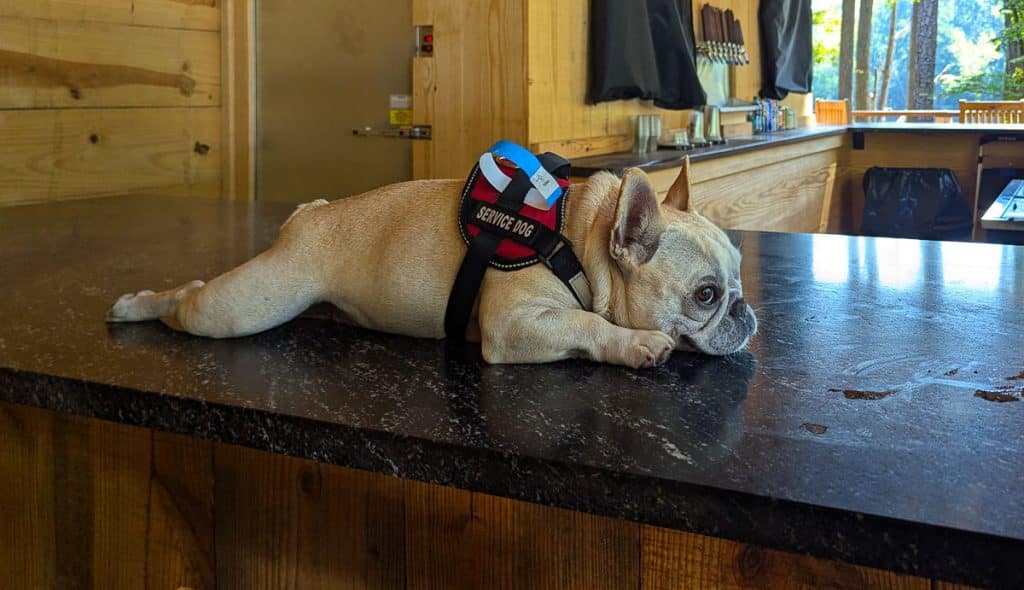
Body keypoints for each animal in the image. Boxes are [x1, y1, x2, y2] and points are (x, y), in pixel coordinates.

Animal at [108, 158, 757, 366]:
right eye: (705, 294)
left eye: (738, 279)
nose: (744, 311)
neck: (581, 240)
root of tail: (309, 215)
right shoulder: (513, 325)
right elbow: (587, 322)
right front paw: (634, 343)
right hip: (250, 305)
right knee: (189, 303)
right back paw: (138, 305)